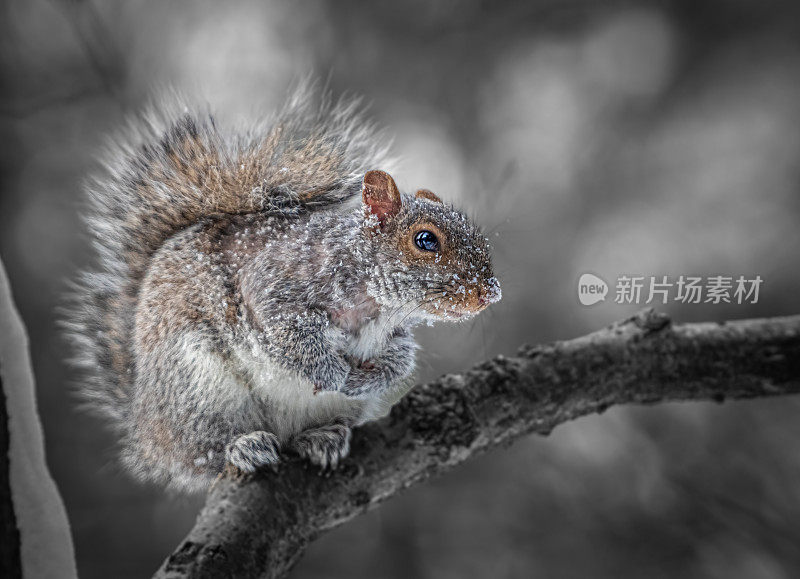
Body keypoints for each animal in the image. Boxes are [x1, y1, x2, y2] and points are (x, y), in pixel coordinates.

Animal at [65, 87, 500, 494]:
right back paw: (243, 446)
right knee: (202, 455)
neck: (375, 305)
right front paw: (335, 374)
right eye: (425, 240)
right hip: (195, 385)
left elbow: (400, 360)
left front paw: (362, 381)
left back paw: (321, 437)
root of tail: (146, 433)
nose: (489, 293)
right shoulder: (271, 290)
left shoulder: (393, 334)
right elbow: (295, 342)